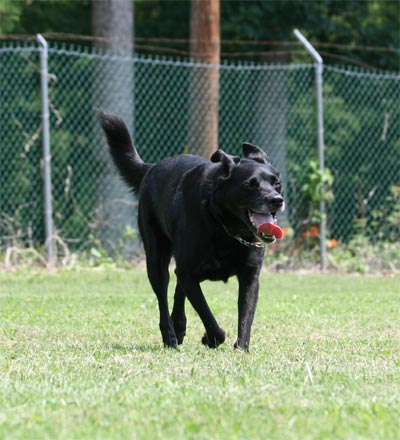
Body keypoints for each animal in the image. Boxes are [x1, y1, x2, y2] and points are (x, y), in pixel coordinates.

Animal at [99, 112, 284, 350]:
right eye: (250, 184)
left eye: (276, 183)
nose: (276, 200)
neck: (224, 227)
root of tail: (152, 167)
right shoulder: (188, 273)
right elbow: (207, 314)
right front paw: (212, 338)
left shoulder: (250, 277)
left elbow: (246, 316)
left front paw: (241, 348)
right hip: (156, 259)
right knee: (163, 295)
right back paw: (170, 336)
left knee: (178, 292)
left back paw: (179, 327)